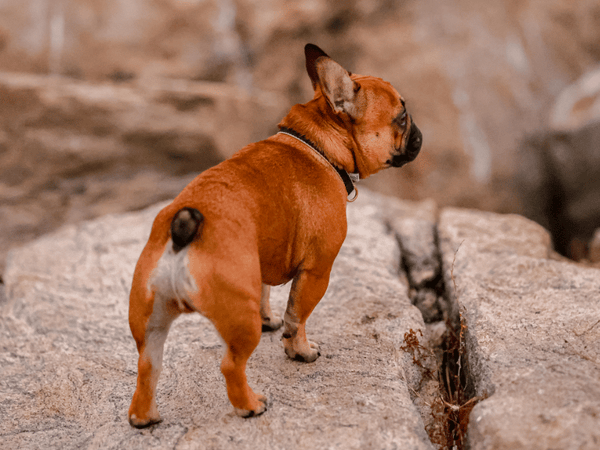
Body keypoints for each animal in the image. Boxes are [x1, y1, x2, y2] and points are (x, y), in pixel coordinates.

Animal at [126, 44, 422, 428]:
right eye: (401, 117)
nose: (419, 133)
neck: (319, 144)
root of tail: (181, 235)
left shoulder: (263, 259)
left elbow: (267, 292)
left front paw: (271, 320)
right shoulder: (317, 272)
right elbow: (298, 317)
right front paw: (300, 351)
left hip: (150, 320)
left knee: (147, 366)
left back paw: (144, 417)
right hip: (239, 320)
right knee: (230, 365)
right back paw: (249, 405)